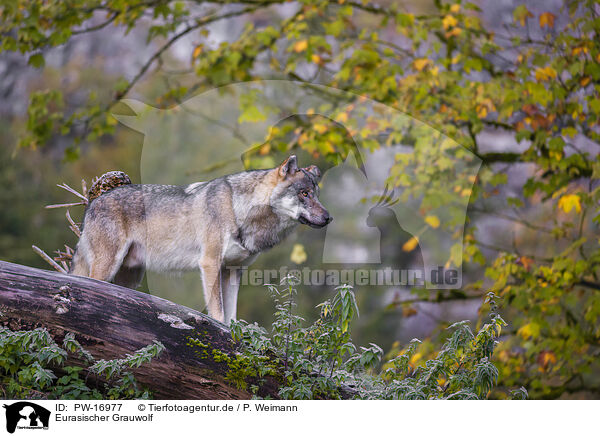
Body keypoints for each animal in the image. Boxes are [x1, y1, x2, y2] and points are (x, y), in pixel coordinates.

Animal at [71, 157, 332, 324]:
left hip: (130, 278)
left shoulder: (233, 270)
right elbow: (217, 310)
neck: (240, 210)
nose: (329, 218)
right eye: (304, 194)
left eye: (317, 195)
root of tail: (93, 204)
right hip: (107, 268)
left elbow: (231, 314)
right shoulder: (210, 264)